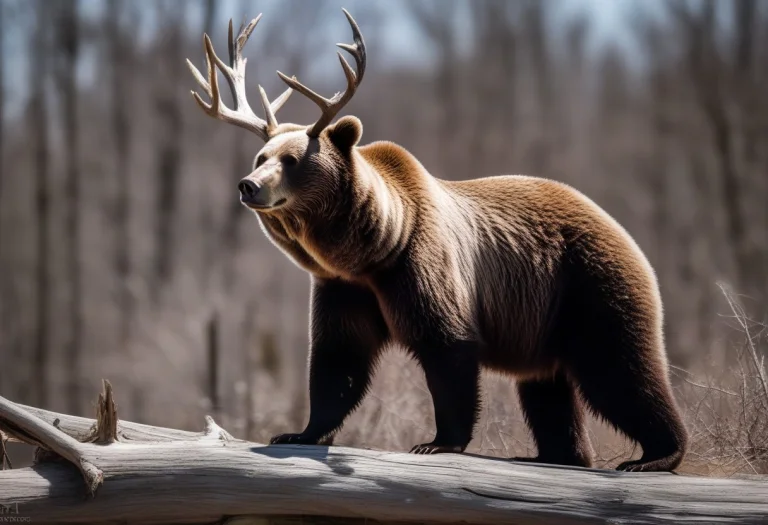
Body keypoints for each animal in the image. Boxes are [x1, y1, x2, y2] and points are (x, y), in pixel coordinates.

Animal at [187, 9, 688, 472]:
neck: (371, 247)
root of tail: (617, 225)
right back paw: (557, 455)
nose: (249, 185)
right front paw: (298, 431)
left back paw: (655, 455)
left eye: (290, 161)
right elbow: (338, 360)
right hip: (541, 321)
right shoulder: (345, 289)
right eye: (262, 156)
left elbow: (447, 348)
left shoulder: (419, 267)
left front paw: (437, 440)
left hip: (585, 284)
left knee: (619, 369)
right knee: (548, 390)